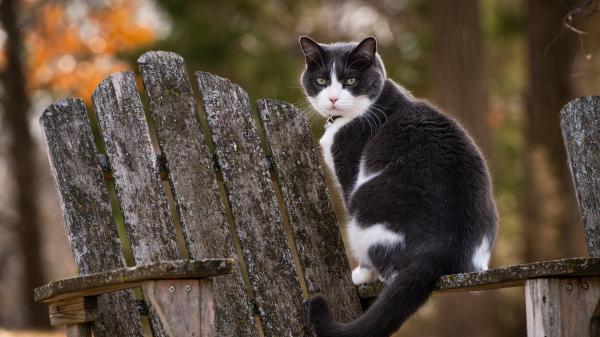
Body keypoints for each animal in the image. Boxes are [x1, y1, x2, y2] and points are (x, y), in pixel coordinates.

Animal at [298, 34, 496, 336]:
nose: (332, 98)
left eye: (351, 81)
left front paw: (360, 274)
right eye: (321, 80)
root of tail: (440, 251)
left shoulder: (349, 172)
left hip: (363, 208)